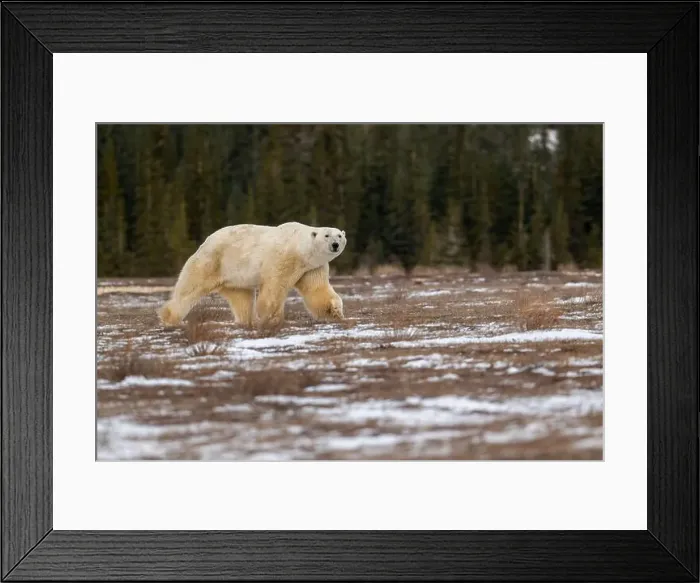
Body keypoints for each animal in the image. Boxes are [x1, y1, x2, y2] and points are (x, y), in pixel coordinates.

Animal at [158, 222, 346, 328]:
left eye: (339, 235)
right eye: (326, 235)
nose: (335, 244)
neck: (300, 249)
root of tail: (205, 242)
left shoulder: (311, 268)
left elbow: (317, 289)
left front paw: (334, 311)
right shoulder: (282, 259)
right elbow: (274, 287)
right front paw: (271, 318)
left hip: (235, 279)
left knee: (242, 299)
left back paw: (247, 321)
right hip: (212, 262)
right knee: (189, 288)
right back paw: (169, 317)